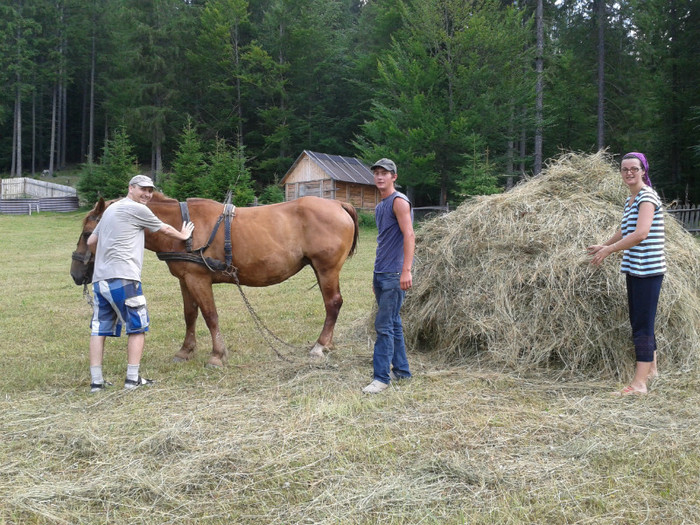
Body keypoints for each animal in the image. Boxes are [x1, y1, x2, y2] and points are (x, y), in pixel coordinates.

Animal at [71, 192, 358, 364]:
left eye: (87, 233)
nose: (75, 273)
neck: (182, 228)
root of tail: (337, 204)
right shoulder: (185, 279)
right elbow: (190, 315)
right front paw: (186, 350)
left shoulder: (198, 279)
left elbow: (210, 315)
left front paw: (217, 355)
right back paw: (327, 344)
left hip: (326, 269)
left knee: (332, 303)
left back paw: (320, 345)